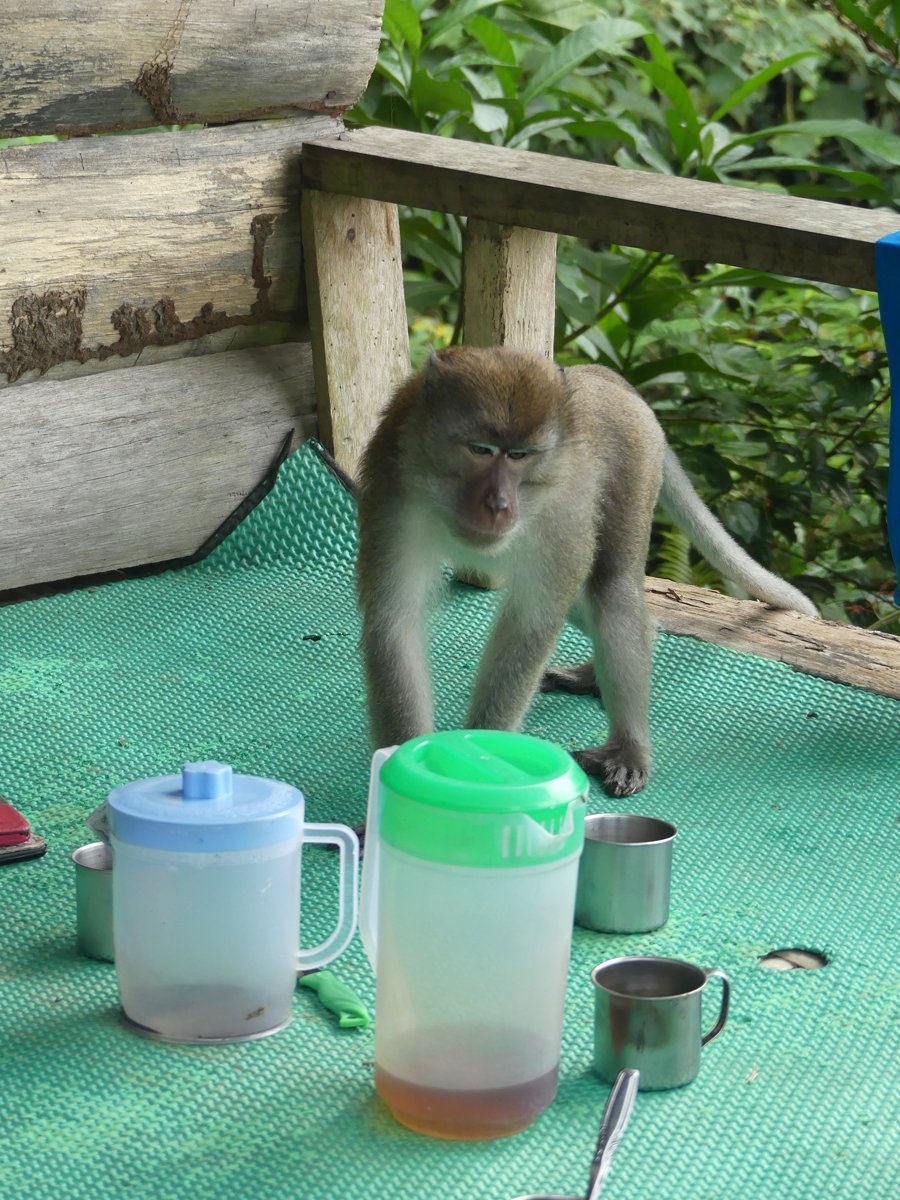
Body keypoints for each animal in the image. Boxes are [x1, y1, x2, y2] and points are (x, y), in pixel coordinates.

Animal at [355, 345, 817, 797]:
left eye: (519, 456)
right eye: (480, 450)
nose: (499, 505)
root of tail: (598, 375)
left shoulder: (561, 517)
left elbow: (531, 624)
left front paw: (480, 762)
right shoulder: (393, 490)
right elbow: (394, 623)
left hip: (634, 467)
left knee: (612, 592)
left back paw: (628, 746)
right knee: (592, 602)